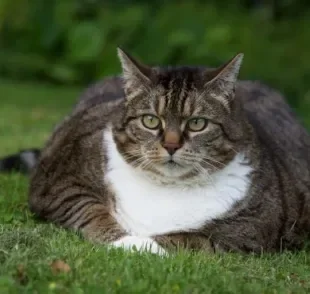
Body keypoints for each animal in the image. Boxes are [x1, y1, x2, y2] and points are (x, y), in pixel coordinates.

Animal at [3, 48, 310, 255]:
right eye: (151, 121)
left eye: (197, 123)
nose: (171, 145)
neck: (166, 188)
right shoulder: (59, 181)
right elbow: (89, 209)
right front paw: (124, 240)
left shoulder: (254, 226)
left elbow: (192, 238)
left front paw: (143, 245)